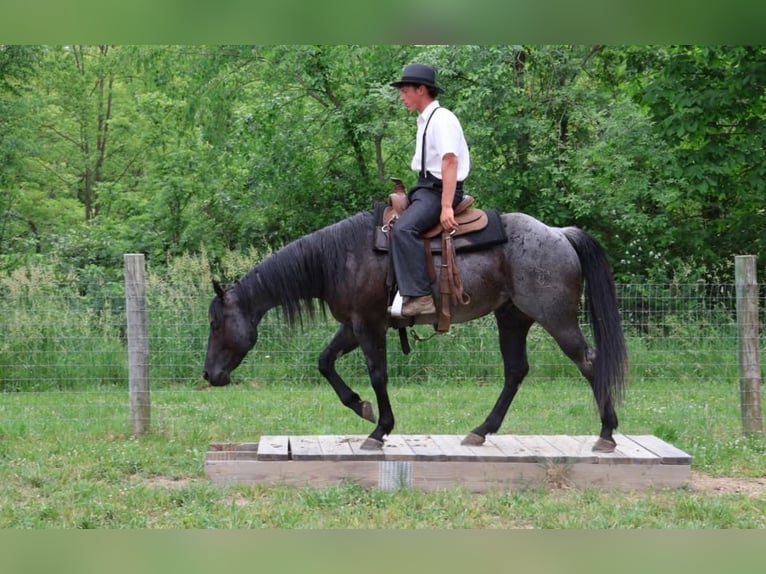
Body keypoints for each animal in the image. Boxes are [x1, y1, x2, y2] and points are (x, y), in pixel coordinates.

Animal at [203, 206, 628, 452]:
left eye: (215, 322)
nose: (209, 375)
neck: (343, 257)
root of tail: (560, 233)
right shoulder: (354, 325)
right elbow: (325, 362)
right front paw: (361, 407)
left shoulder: (368, 326)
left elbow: (378, 374)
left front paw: (379, 430)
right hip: (512, 318)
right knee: (515, 371)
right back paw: (481, 430)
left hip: (557, 319)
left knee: (589, 362)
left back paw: (606, 434)